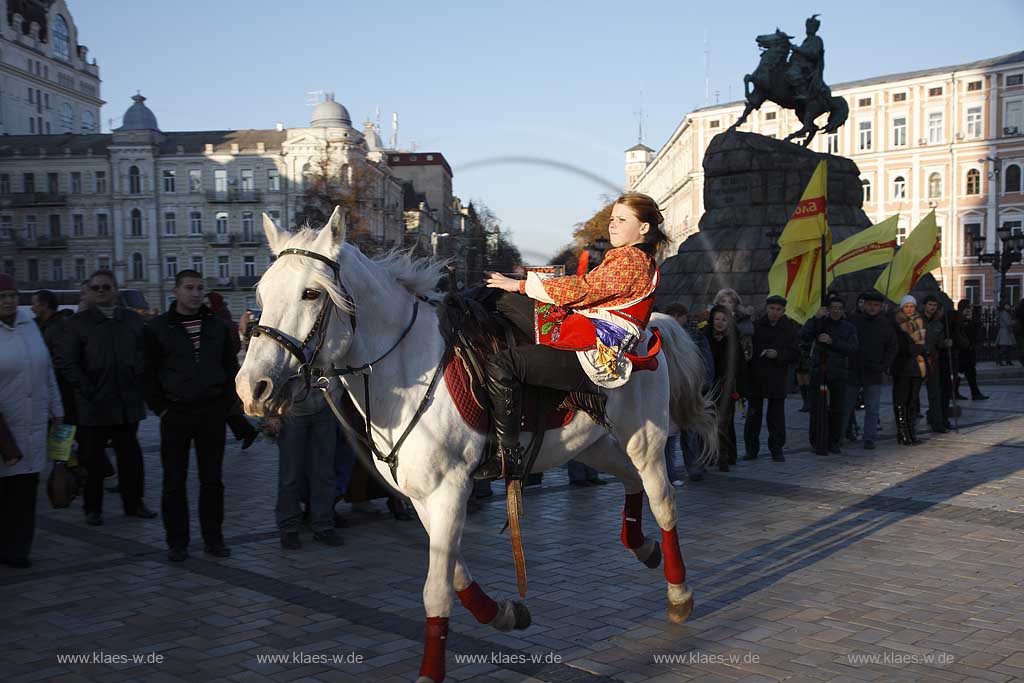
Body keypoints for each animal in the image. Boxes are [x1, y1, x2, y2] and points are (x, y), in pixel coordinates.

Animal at [235, 209, 716, 683]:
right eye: (260, 292)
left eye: (311, 293)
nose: (252, 388)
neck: (406, 368)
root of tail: (652, 329)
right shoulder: (423, 495)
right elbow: (456, 574)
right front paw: (503, 613)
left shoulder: (449, 490)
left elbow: (436, 591)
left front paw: (431, 672)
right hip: (590, 444)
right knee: (632, 483)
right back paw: (642, 546)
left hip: (645, 438)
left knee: (662, 500)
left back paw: (679, 592)